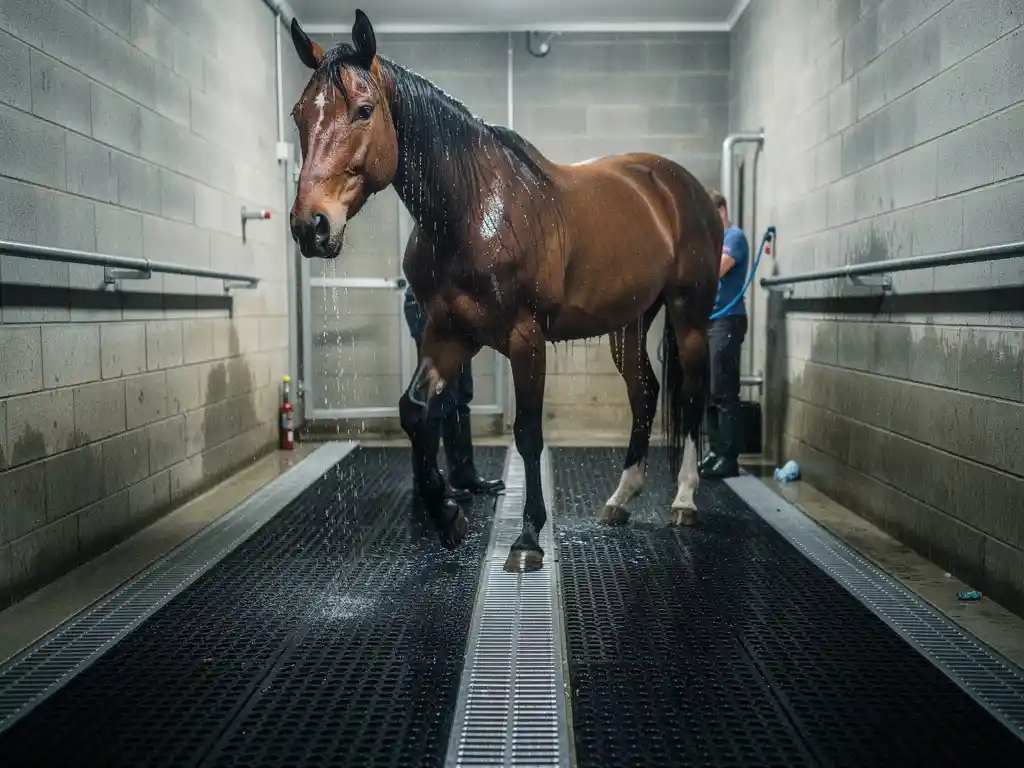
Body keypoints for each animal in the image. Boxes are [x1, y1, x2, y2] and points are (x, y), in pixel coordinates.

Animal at [286, 10, 723, 574]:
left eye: (364, 110)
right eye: (298, 115)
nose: (310, 226)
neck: (471, 209)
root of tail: (684, 187)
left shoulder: (525, 338)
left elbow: (529, 434)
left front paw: (528, 537)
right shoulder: (448, 334)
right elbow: (416, 411)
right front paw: (447, 515)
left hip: (689, 314)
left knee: (691, 397)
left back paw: (685, 499)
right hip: (630, 324)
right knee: (644, 393)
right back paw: (621, 498)